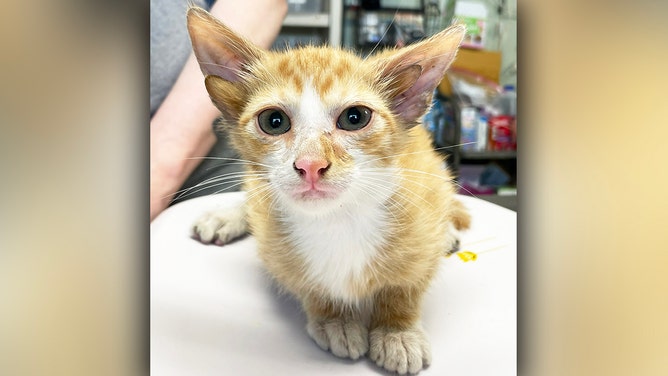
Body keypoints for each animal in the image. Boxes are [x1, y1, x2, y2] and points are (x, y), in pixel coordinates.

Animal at [187, 6, 470, 376]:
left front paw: (396, 330)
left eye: (355, 118)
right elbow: (308, 284)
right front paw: (335, 319)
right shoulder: (277, 251)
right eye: (273, 121)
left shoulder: (423, 200)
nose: (311, 164)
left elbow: (406, 283)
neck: (338, 220)